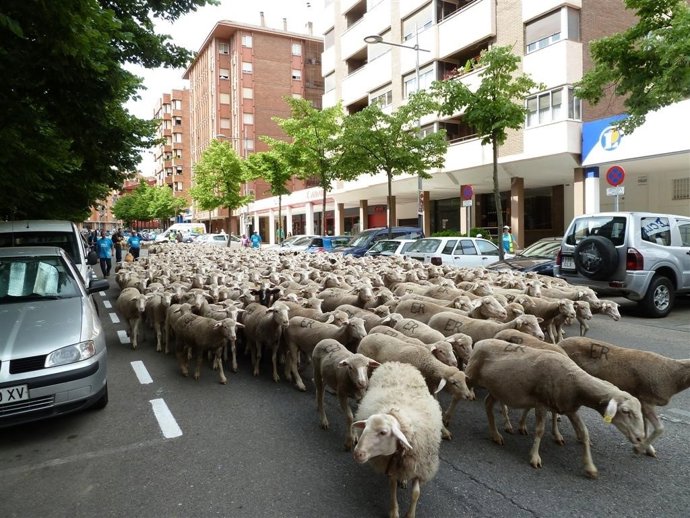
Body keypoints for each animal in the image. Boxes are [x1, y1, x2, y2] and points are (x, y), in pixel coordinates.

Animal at [352, 361, 443, 518]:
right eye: (365, 427)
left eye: (383, 432)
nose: (358, 453)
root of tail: (397, 363)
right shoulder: (391, 466)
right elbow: (392, 487)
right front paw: (394, 511)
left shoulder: (420, 466)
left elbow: (416, 493)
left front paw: (410, 514)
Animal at [465, 338, 645, 478]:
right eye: (625, 411)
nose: (640, 438)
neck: (575, 382)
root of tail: (480, 342)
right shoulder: (541, 403)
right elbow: (540, 430)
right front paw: (535, 457)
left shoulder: (570, 408)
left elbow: (584, 433)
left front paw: (590, 467)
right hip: (471, 377)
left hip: (497, 388)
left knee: (488, 404)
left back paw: (495, 435)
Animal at [558, 336, 690, 456]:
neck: (672, 377)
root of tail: (561, 342)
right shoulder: (646, 401)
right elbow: (660, 428)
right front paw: (639, 448)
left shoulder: (642, 401)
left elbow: (645, 426)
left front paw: (647, 448)